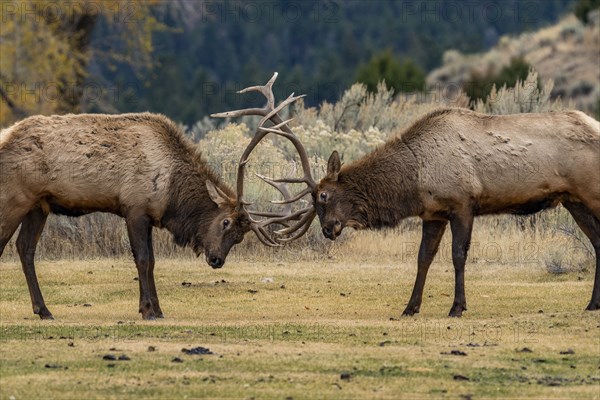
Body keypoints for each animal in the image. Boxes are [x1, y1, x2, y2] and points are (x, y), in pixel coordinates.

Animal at [0, 83, 298, 320]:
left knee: (25, 248)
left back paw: (44, 310)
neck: (172, 194)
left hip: (38, 205)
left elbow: (152, 261)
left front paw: (158, 309)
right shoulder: (135, 208)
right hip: (15, 198)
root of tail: (6, 136)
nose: (216, 260)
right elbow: (143, 260)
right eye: (225, 222)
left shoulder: (149, 215)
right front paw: (147, 311)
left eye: (239, 237)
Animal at [224, 74, 600, 318]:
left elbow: (458, 256)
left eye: (325, 196)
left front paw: (457, 307)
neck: (414, 180)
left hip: (589, 192)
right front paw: (410, 307)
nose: (328, 230)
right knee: (597, 242)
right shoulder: (432, 213)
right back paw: (592, 303)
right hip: (573, 200)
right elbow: (423, 258)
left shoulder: (463, 203)